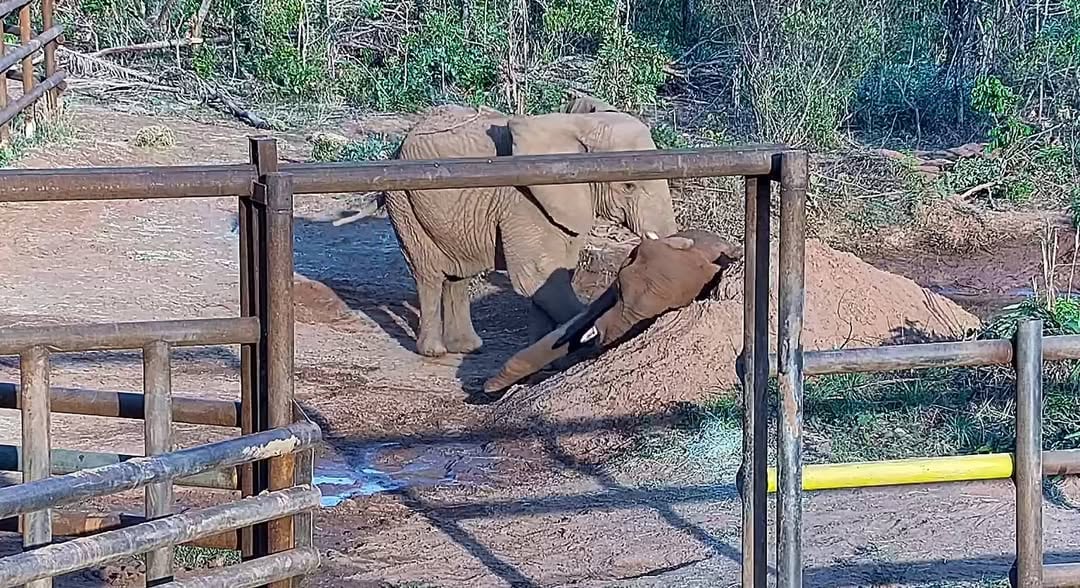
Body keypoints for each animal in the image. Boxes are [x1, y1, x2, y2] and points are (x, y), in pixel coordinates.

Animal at [384, 98, 679, 358]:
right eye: (628, 186)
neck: (580, 124)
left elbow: (555, 276)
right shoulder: (523, 201)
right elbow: (538, 277)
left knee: (459, 273)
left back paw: (468, 347)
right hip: (403, 201)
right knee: (429, 273)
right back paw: (434, 351)